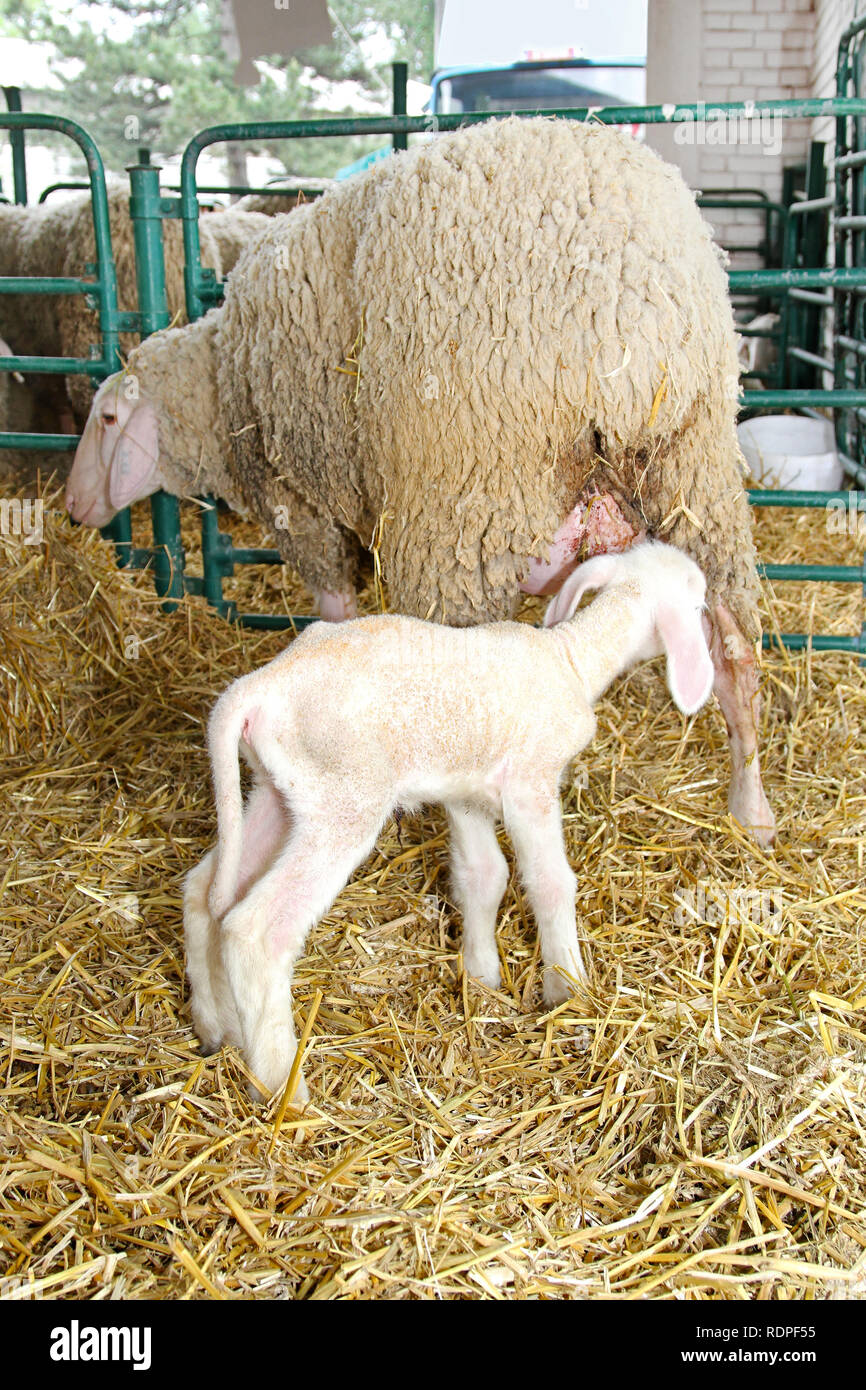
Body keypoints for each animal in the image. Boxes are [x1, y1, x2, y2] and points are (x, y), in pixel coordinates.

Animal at [66, 115, 776, 845]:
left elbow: (335, 607)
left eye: (107, 418)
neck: (217, 386)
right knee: (736, 649)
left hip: (465, 496)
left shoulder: (301, 507)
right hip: (695, 471)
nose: (70, 507)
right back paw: (751, 807)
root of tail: (632, 300)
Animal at [185, 539, 716, 1101]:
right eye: (699, 600)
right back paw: (282, 1086)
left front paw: (481, 976)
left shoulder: (466, 793)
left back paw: (216, 1028)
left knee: (204, 893)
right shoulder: (531, 783)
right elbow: (550, 883)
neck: (570, 659)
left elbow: (485, 877)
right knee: (254, 931)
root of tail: (252, 692)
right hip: (344, 797)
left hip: (281, 794)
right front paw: (567, 988)